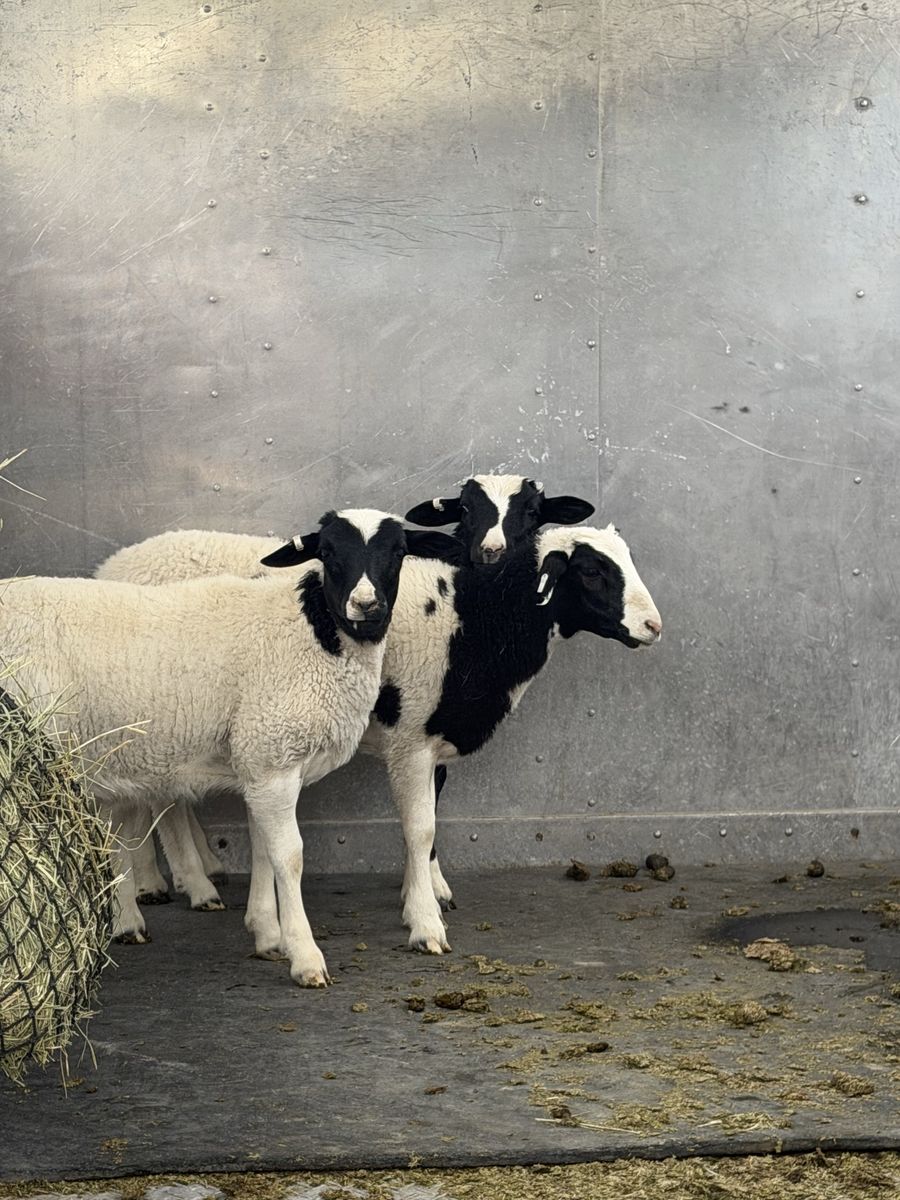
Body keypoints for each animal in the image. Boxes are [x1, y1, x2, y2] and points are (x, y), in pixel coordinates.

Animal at [0, 509, 458, 986]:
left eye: (399, 552)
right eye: (328, 552)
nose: (366, 605)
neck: (312, 633)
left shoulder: (261, 762)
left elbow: (263, 848)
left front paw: (267, 934)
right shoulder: (273, 757)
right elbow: (289, 857)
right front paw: (305, 956)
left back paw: (128, 922)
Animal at [97, 515, 660, 956]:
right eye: (592, 571)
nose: (653, 627)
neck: (471, 618)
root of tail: (113, 565)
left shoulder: (432, 738)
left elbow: (431, 818)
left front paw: (430, 890)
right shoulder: (410, 739)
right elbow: (421, 828)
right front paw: (425, 920)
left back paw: (165, 877)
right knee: (166, 802)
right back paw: (191, 884)